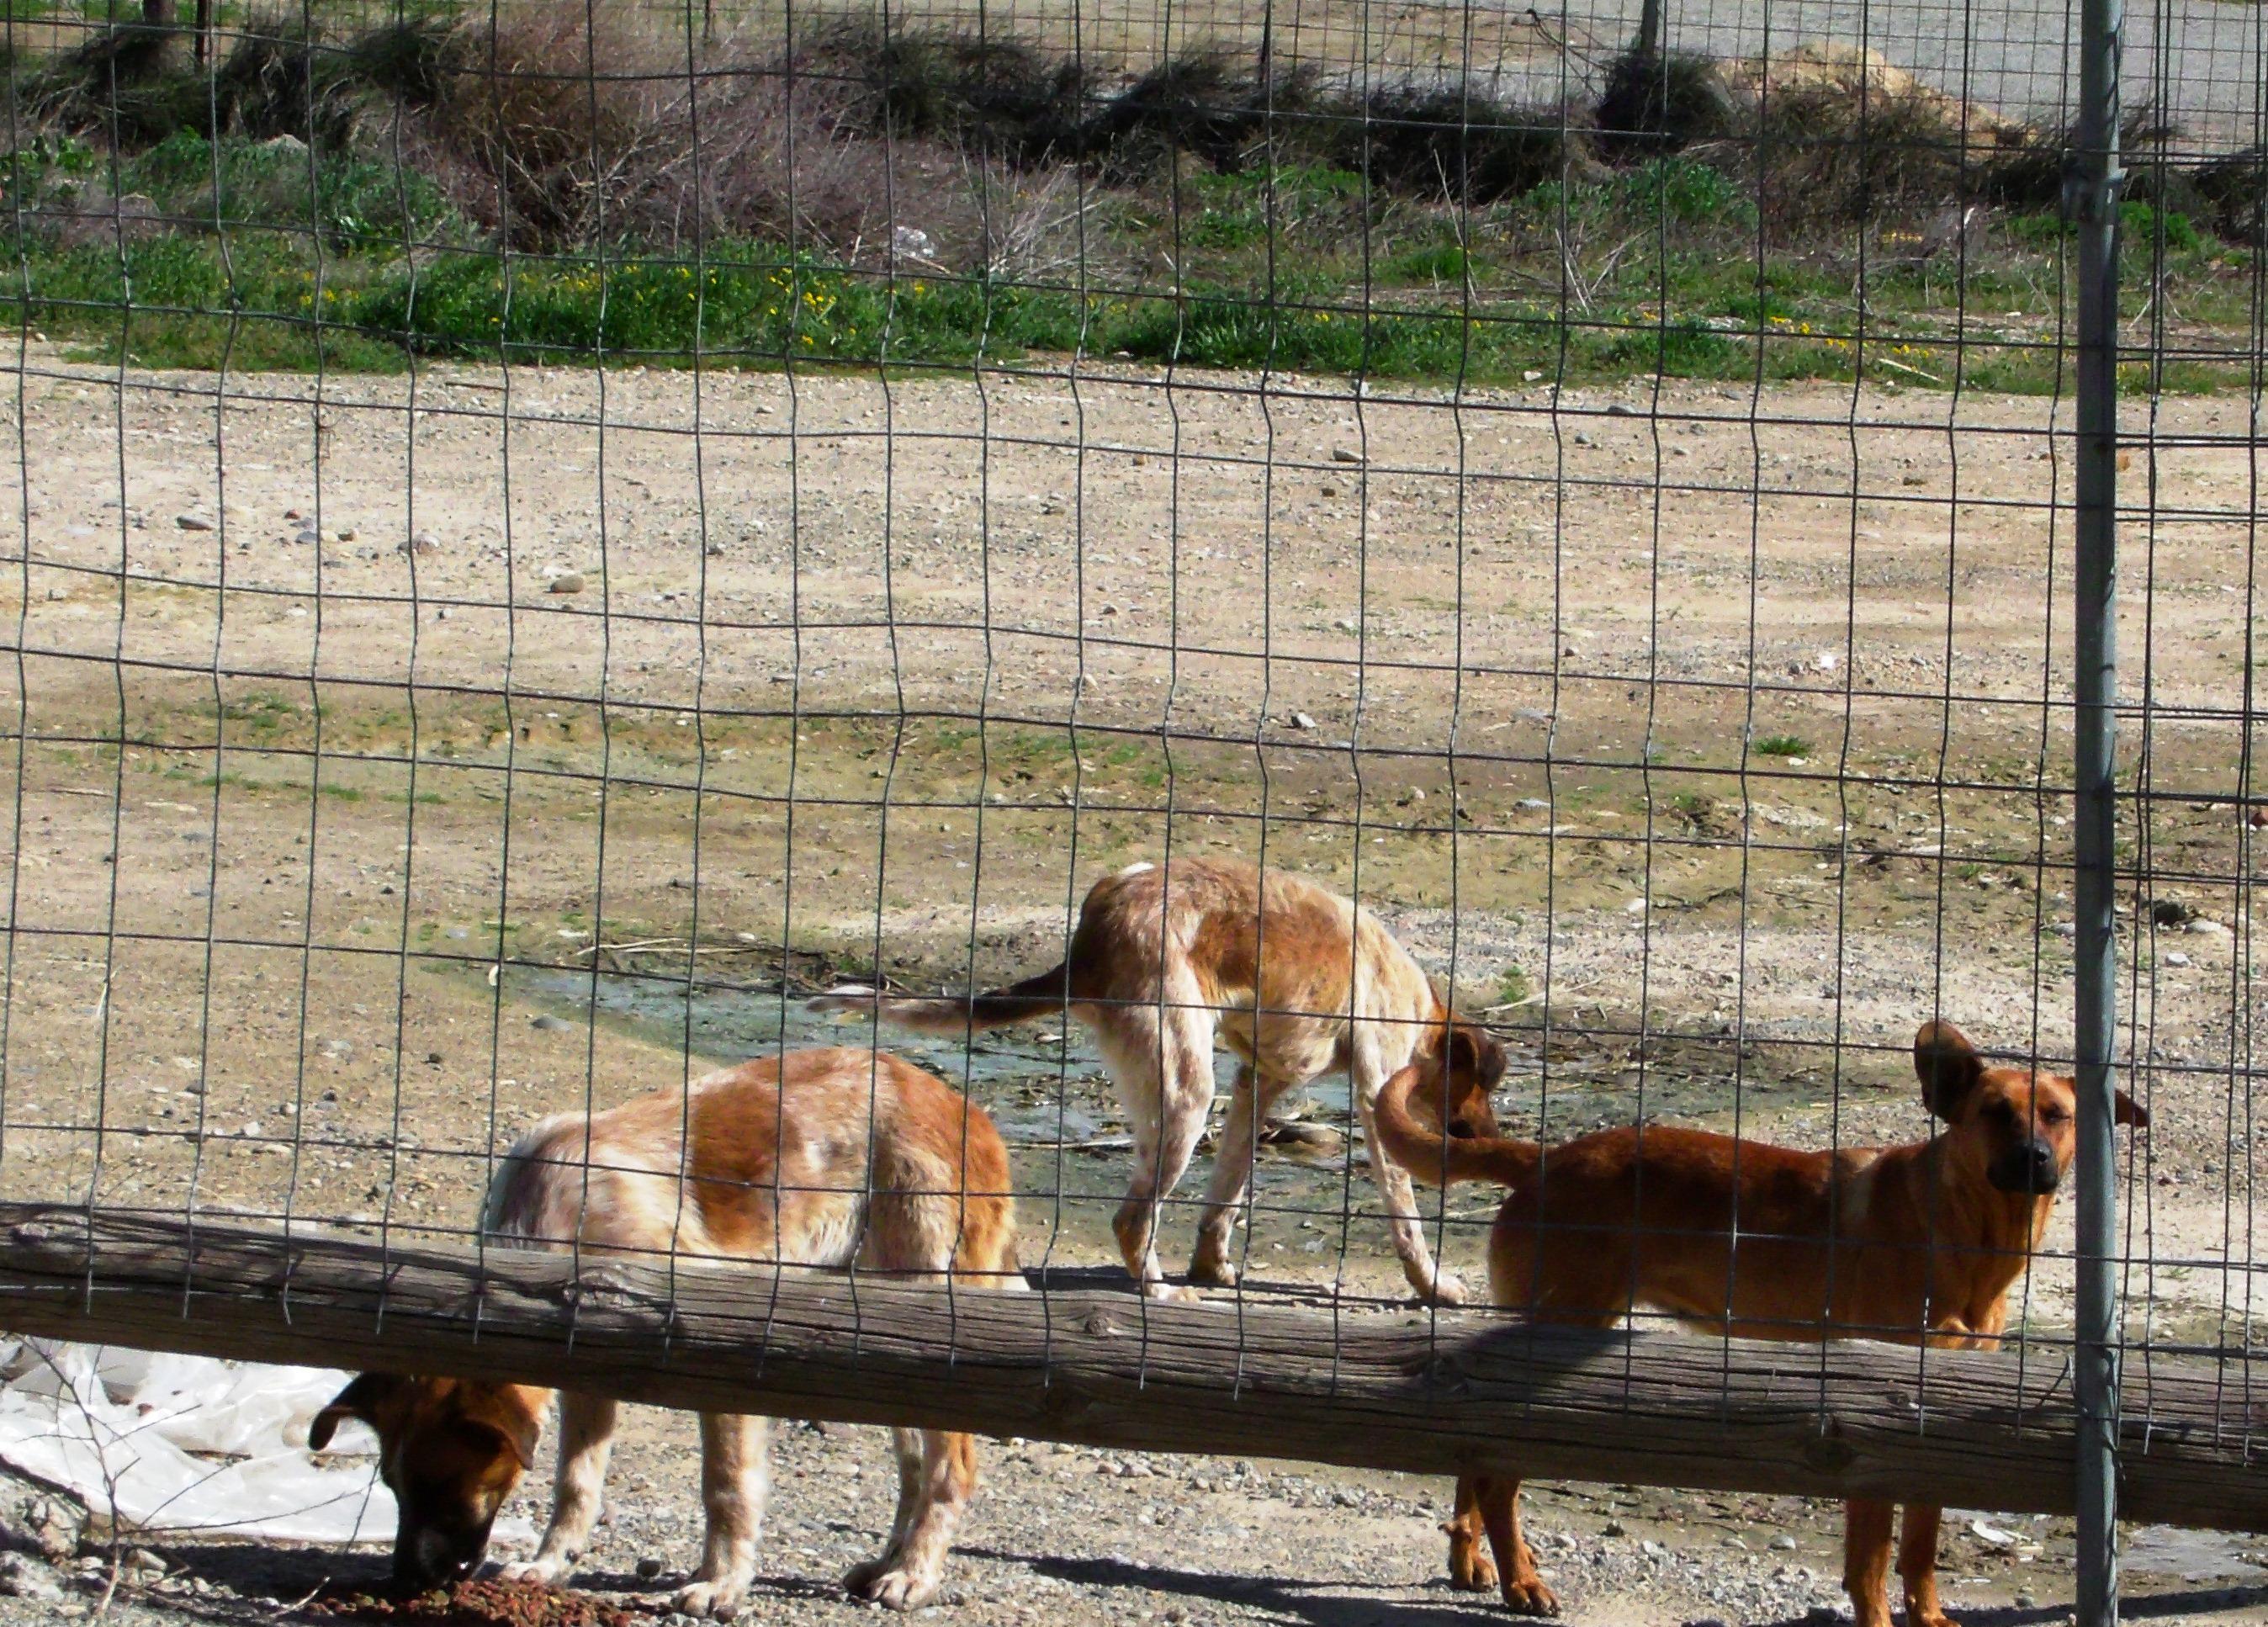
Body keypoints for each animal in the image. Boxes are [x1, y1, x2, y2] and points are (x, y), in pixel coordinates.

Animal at [315, 1048, 1025, 1615]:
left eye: (444, 1487)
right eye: (394, 1489)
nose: (405, 1583)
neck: (548, 1236)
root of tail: (962, 1105)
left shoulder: (724, 1368)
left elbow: (727, 1490)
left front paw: (721, 1584)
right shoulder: (585, 1381)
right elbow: (576, 1483)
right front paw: (550, 1564)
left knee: (951, 1467)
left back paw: (915, 1574)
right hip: (890, 1347)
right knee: (916, 1464)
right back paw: (889, 1561)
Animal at [807, 857, 1497, 1297]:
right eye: (1482, 1091)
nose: (1492, 1136)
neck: (1421, 1010)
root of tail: (1090, 941)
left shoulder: (1257, 1084)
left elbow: (1226, 1194)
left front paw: (1213, 1265)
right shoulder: (1375, 1092)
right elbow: (1406, 1217)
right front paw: (1432, 1285)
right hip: (1186, 1094)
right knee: (1131, 1219)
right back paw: (1158, 1291)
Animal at [1360, 1016, 2141, 1624]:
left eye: (2056, 1115)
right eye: (1994, 1112)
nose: (2034, 1159)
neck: (1964, 1232)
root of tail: (1544, 1159)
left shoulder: (1938, 1422)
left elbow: (1920, 1544)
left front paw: (1929, 1616)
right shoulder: (1873, 1419)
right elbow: (1873, 1557)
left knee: (1473, 1461)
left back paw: (1473, 1564)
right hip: (1559, 1339)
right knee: (1498, 1483)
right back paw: (1522, 1580)